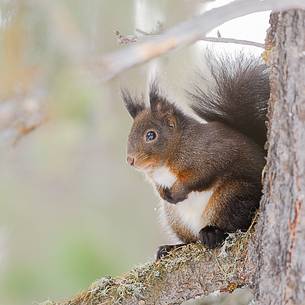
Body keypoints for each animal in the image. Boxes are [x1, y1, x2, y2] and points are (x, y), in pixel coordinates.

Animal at [121, 53, 268, 258]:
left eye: (151, 135)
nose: (130, 160)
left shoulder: (209, 154)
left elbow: (199, 176)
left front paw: (177, 191)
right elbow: (158, 187)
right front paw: (163, 193)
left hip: (231, 195)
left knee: (234, 222)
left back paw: (212, 233)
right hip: (175, 218)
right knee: (191, 240)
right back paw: (171, 247)